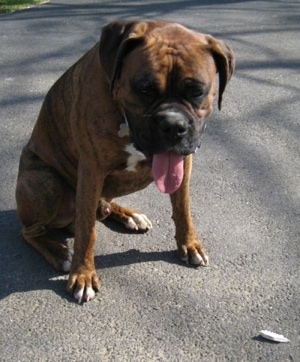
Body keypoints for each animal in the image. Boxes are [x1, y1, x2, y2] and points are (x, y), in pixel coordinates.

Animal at [15, 19, 234, 302]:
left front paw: (190, 244)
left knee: (103, 206)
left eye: (197, 91)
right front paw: (83, 275)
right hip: (45, 182)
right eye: (144, 89)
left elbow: (183, 208)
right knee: (31, 231)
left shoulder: (183, 164)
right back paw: (59, 251)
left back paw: (129, 215)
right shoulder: (91, 170)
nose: (173, 125)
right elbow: (87, 230)